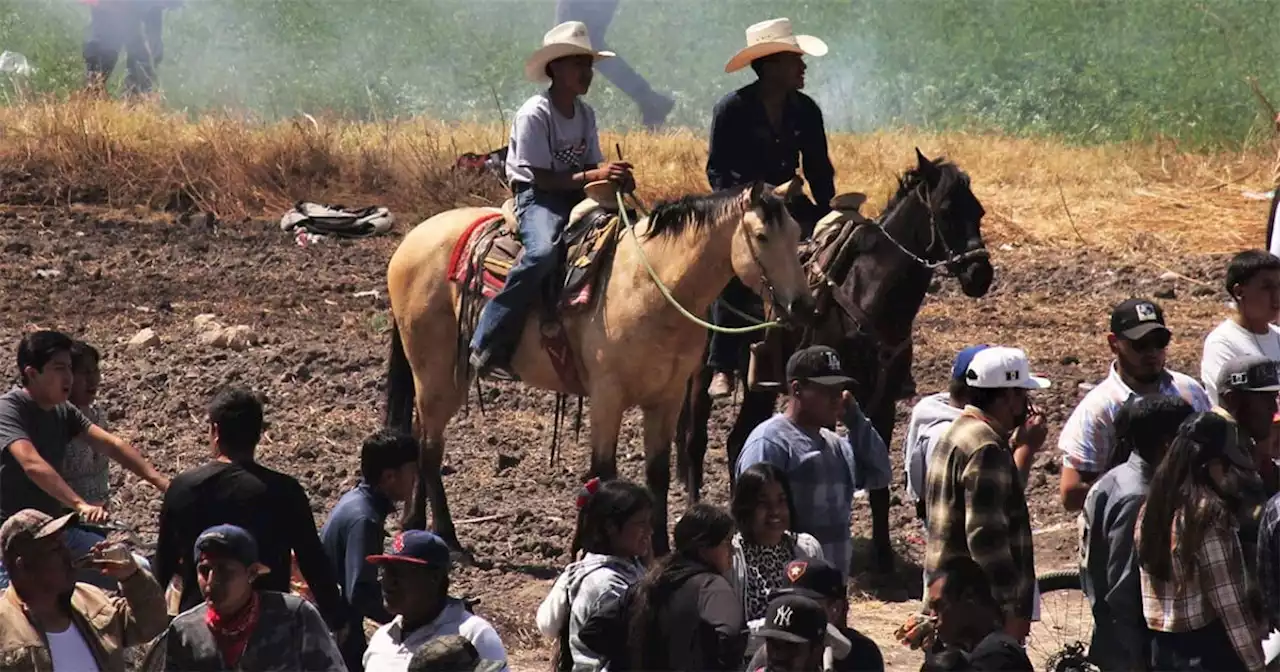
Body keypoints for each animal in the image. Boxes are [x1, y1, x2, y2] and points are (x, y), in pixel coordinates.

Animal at [384, 177, 814, 550]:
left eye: (797, 234)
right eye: (761, 236)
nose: (802, 307)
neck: (651, 285)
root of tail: (411, 240)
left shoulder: (668, 397)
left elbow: (657, 473)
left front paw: (660, 547)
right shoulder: (607, 396)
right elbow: (603, 473)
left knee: (422, 437)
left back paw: (414, 522)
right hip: (437, 374)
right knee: (430, 448)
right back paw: (448, 536)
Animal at [675, 150, 993, 570]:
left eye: (978, 210)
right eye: (945, 210)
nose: (980, 274)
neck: (867, 289)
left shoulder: (882, 400)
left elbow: (878, 480)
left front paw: (884, 555)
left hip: (762, 386)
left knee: (736, 440)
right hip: (700, 377)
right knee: (696, 442)